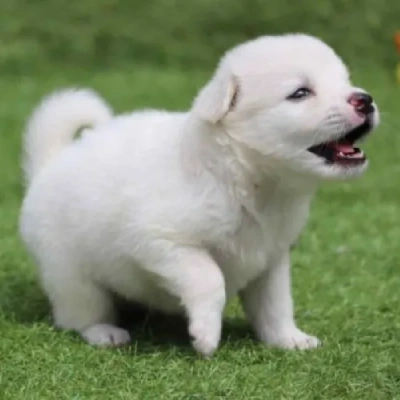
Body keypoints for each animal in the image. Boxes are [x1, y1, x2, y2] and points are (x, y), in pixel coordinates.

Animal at [19, 32, 382, 354]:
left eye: (346, 81)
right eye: (300, 92)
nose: (365, 99)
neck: (247, 181)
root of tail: (49, 164)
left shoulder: (272, 259)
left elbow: (275, 305)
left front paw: (289, 339)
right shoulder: (159, 241)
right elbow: (209, 277)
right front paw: (206, 334)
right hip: (70, 273)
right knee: (79, 314)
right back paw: (104, 332)